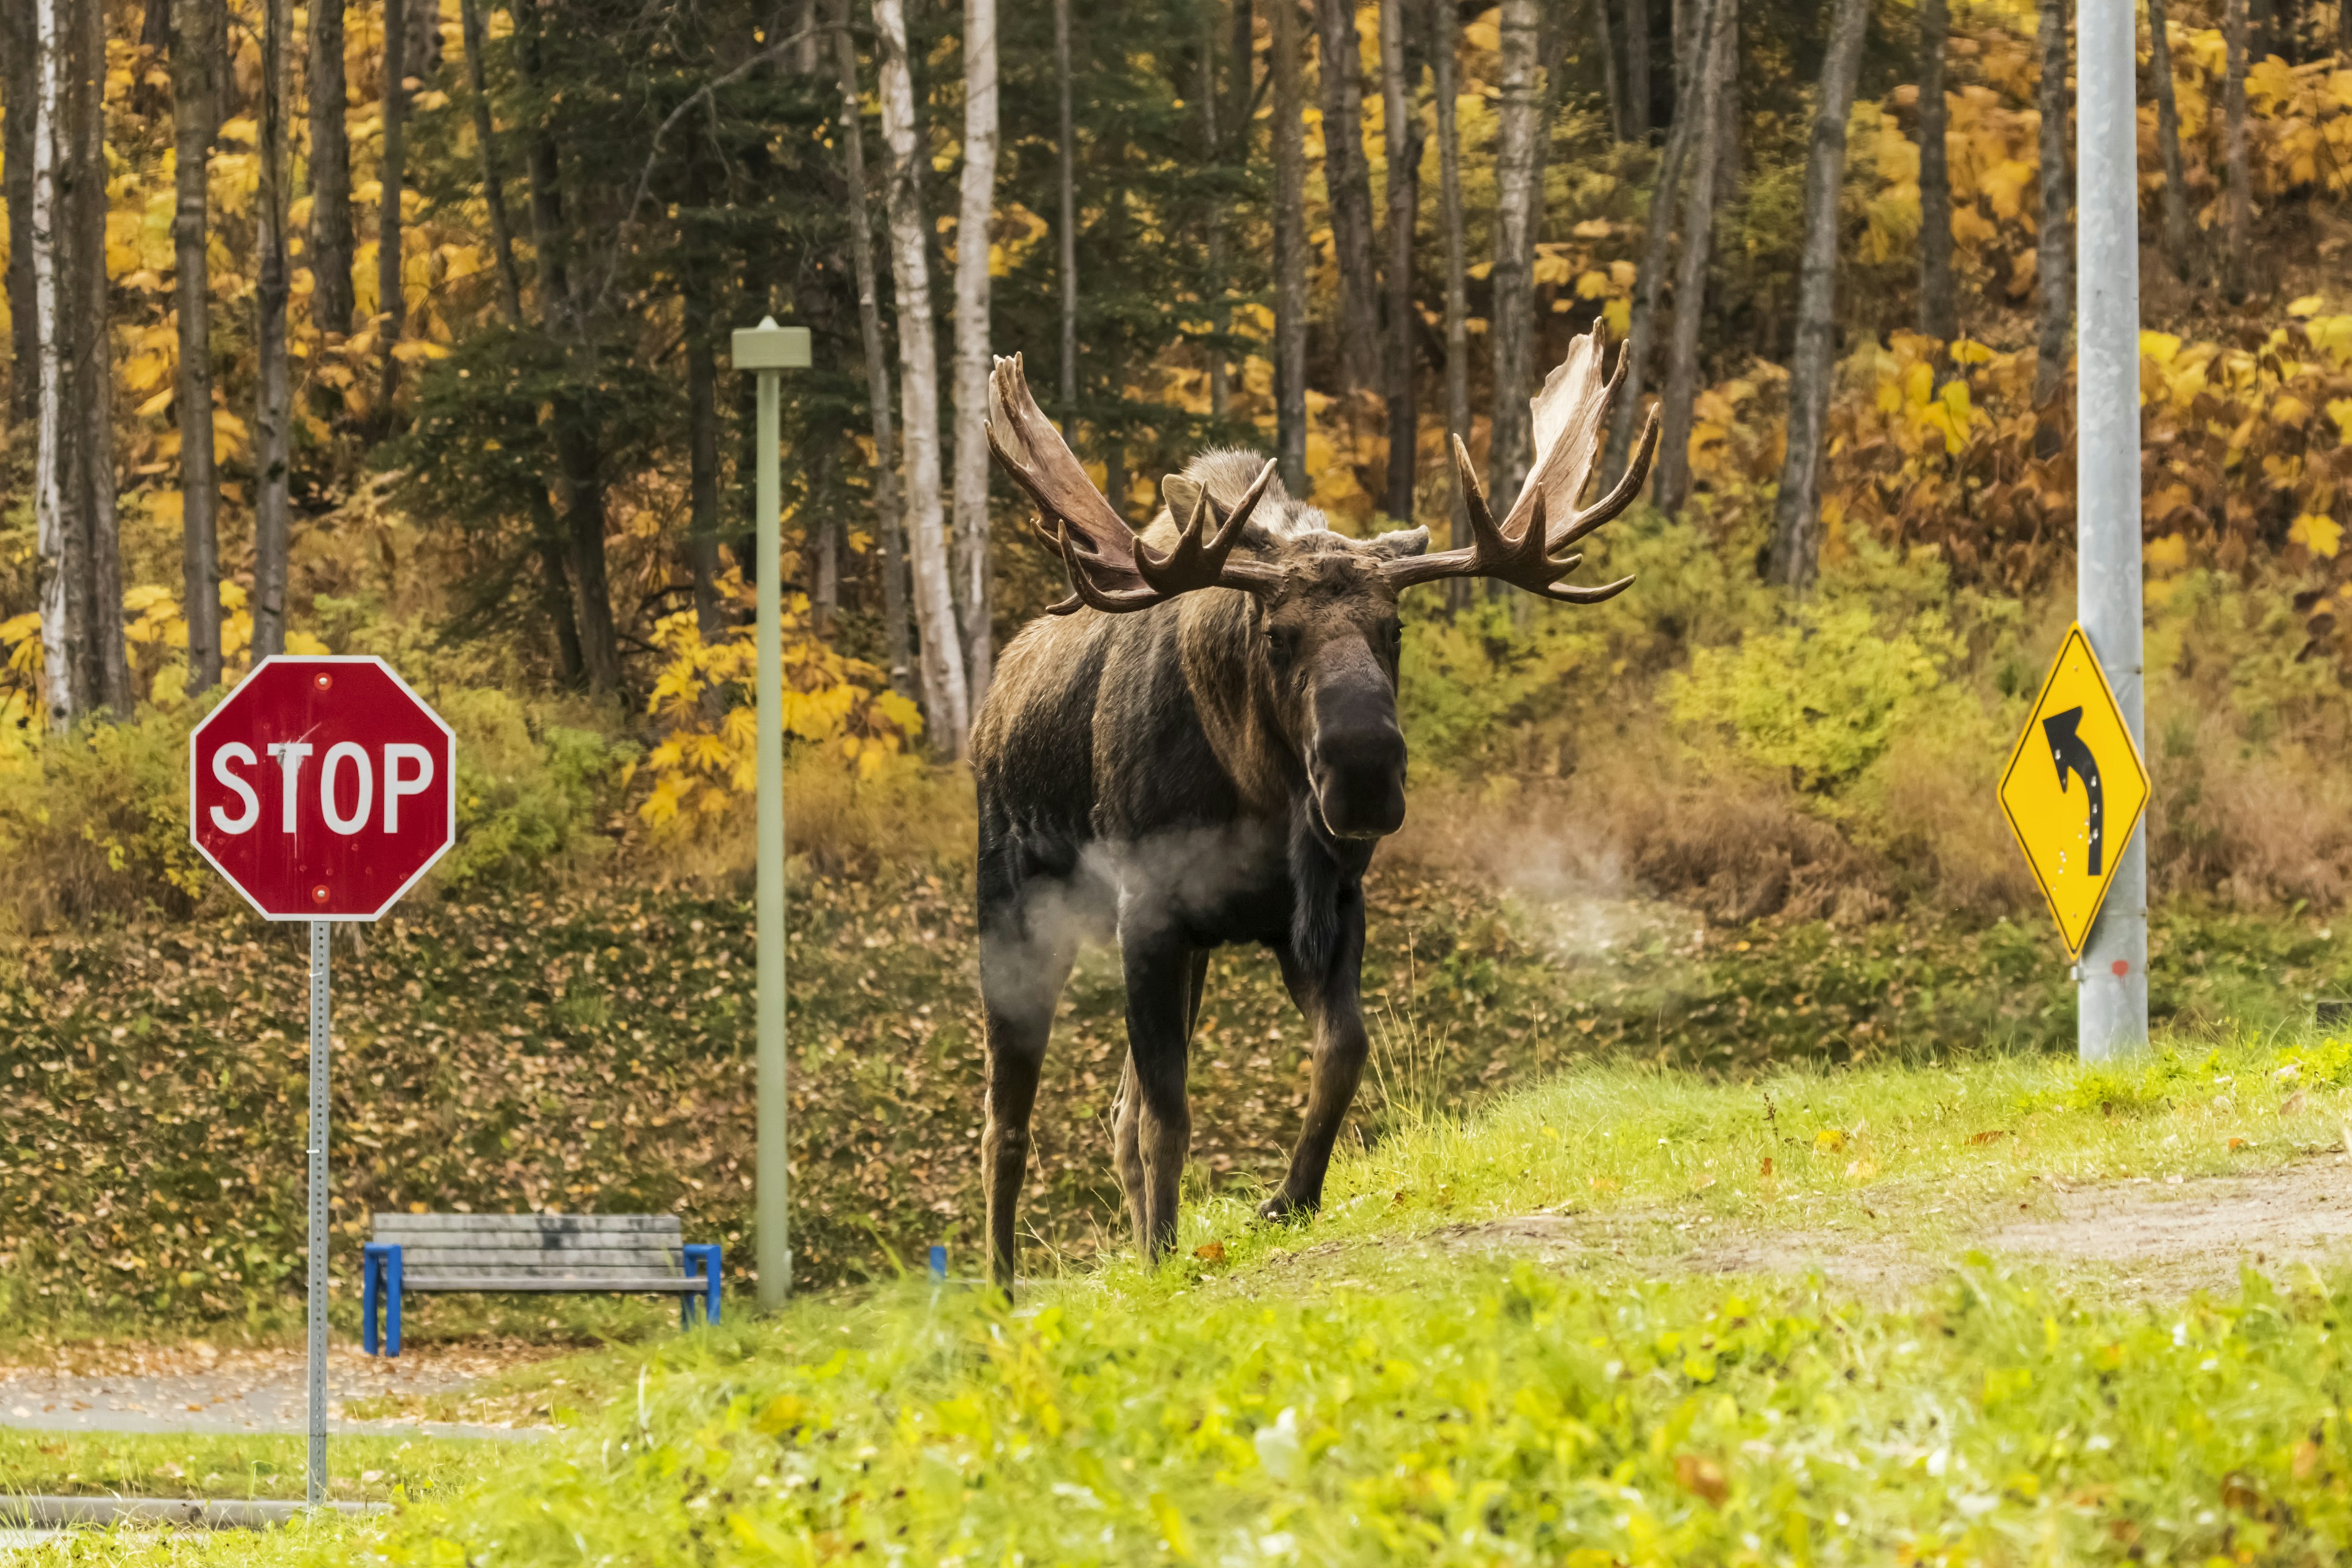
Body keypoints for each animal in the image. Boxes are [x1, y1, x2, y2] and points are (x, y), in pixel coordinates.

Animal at [969, 329, 1656, 1288]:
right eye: (1274, 634)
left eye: (1394, 628)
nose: (1364, 773)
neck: (1258, 797)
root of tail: (990, 709)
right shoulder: (1150, 913)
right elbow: (1170, 1115)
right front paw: (1166, 1260)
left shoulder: (1319, 906)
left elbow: (1341, 1050)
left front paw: (1286, 1197)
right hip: (1014, 910)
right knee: (1007, 1118)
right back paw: (1000, 1286)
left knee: (1113, 1109)